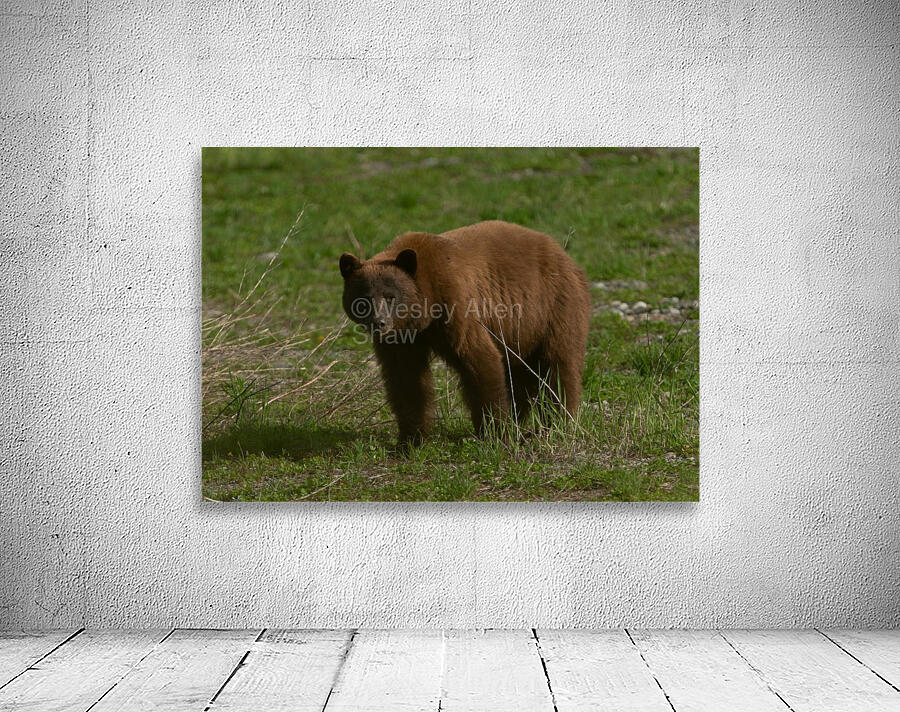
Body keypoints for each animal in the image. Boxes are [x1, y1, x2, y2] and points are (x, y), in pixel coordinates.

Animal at [339, 220, 590, 447]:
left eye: (390, 296)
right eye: (365, 298)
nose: (379, 323)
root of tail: (564, 254)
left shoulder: (457, 305)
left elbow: (479, 360)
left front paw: (494, 435)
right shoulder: (402, 338)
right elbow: (406, 379)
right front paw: (409, 439)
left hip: (554, 306)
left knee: (558, 366)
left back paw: (555, 424)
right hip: (521, 334)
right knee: (520, 375)